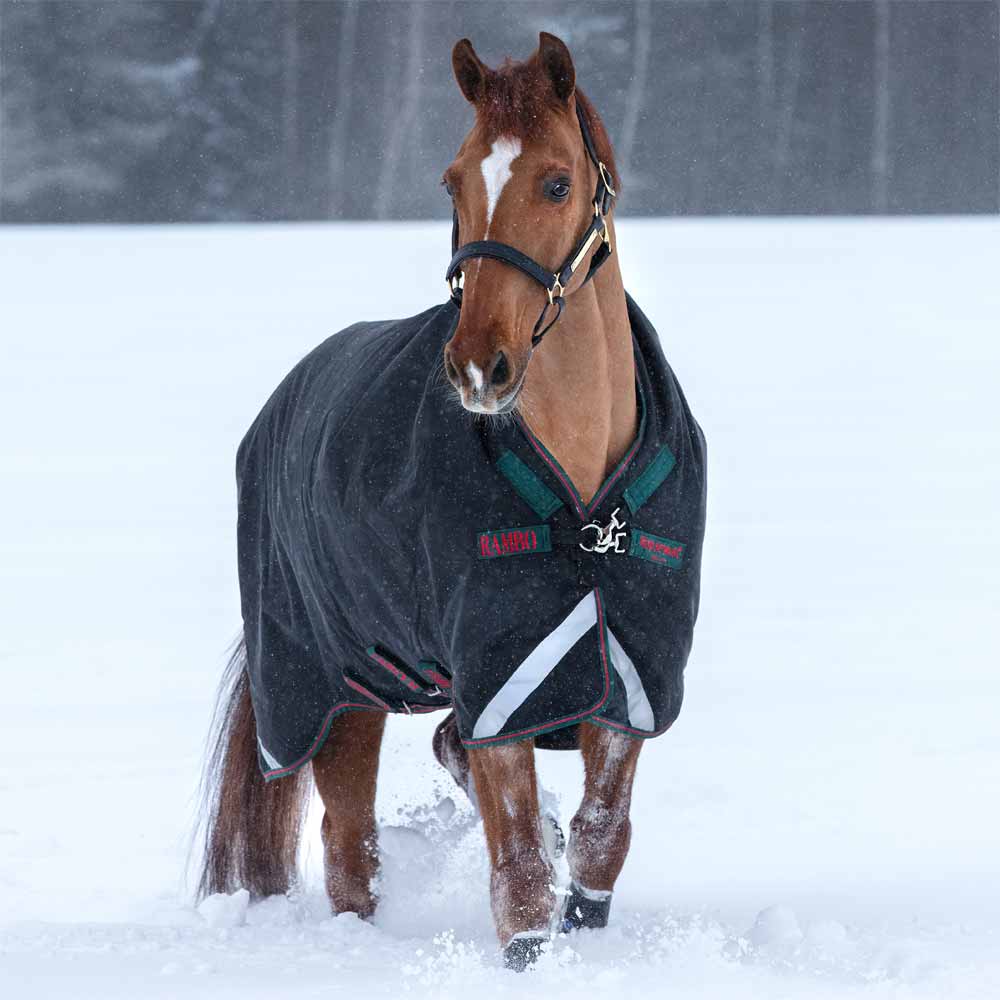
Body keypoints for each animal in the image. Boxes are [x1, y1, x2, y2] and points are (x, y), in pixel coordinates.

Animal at [198, 32, 706, 971]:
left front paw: (582, 915)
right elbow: (520, 872)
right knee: (349, 848)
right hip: (338, 692)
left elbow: (599, 839)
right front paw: (532, 956)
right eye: (452, 180)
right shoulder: (500, 674)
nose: (478, 365)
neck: (585, 510)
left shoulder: (626, 674)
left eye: (556, 182)